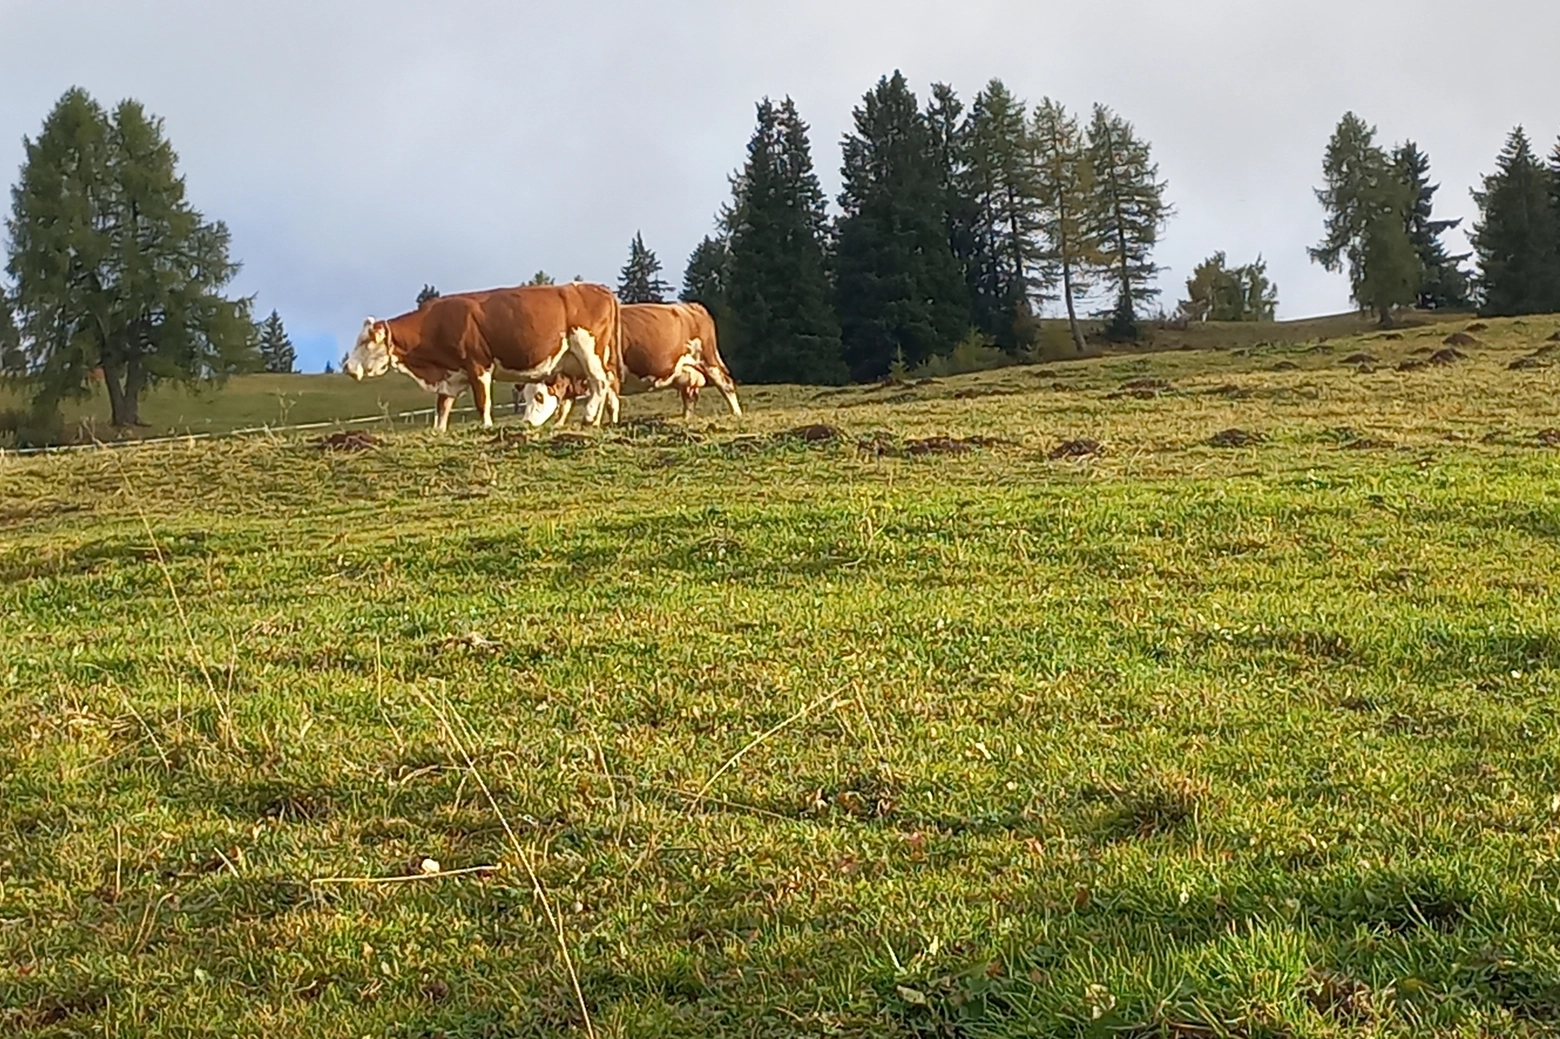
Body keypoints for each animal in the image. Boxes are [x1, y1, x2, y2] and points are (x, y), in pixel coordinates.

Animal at [346, 279, 620, 427]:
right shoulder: (451, 375)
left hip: (588, 350)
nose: (347, 367)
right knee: (607, 385)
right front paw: (439, 432)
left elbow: (482, 402)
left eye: (365, 341)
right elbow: (442, 409)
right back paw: (600, 420)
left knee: (599, 382)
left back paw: (589, 417)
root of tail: (598, 288)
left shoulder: (478, 365)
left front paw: (487, 426)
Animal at [517, 299, 742, 424]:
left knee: (726, 385)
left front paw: (607, 425)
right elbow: (567, 405)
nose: (526, 422)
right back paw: (687, 420)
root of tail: (692, 305)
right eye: (524, 397)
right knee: (690, 397)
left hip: (709, 360)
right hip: (685, 373)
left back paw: (736, 414)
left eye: (539, 396)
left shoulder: (608, 375)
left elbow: (610, 403)